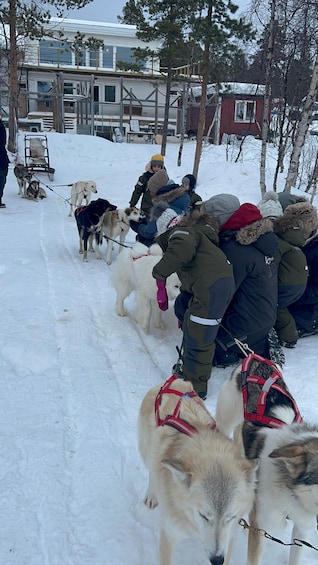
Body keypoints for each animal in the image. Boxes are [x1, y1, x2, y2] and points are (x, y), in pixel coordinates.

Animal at [139, 374, 258, 564]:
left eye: (230, 517)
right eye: (204, 515)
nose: (217, 560)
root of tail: (176, 380)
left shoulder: (228, 540)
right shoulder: (169, 535)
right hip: (148, 451)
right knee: (152, 467)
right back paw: (152, 495)